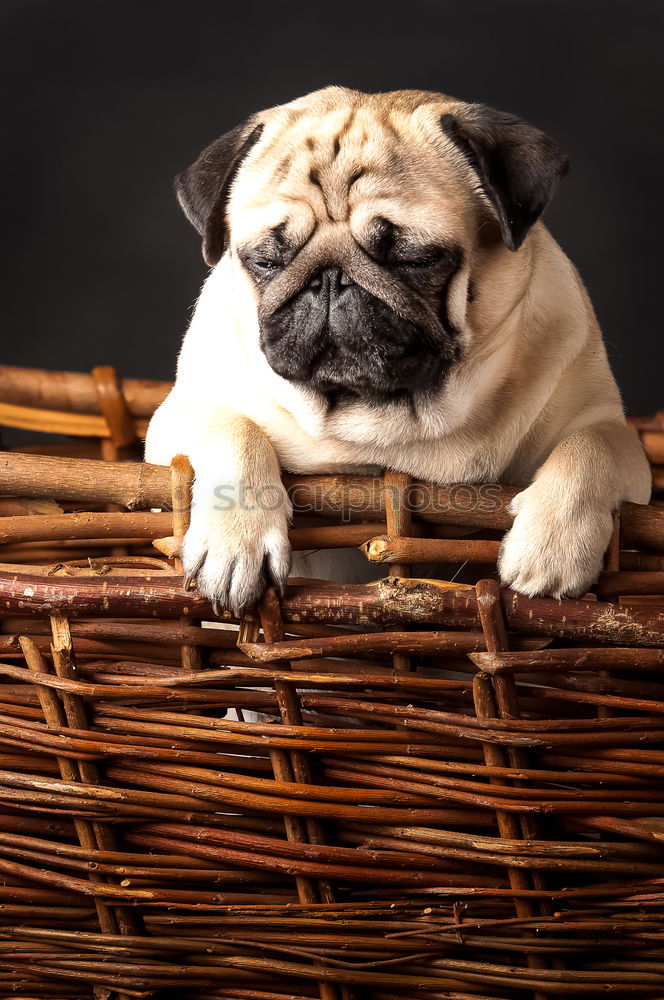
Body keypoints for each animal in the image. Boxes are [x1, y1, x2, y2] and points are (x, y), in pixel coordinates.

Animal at [144, 86, 648, 612]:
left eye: (416, 259)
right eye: (265, 260)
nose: (331, 279)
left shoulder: (613, 432)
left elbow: (588, 448)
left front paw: (553, 550)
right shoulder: (178, 417)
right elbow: (235, 428)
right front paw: (235, 542)